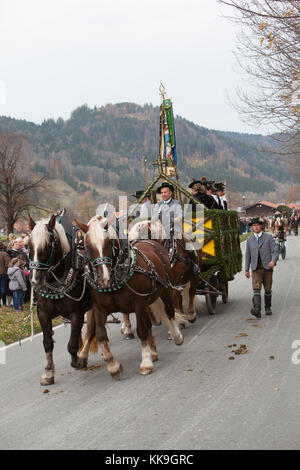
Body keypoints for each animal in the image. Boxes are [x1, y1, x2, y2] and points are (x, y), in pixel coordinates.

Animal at [28, 215, 91, 384]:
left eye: (48, 246)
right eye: (29, 245)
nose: (35, 280)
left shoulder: (77, 313)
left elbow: (71, 344)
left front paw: (76, 360)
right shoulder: (43, 314)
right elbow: (47, 343)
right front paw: (48, 372)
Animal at [74, 215, 183, 376]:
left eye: (109, 242)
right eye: (87, 245)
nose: (104, 279)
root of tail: (150, 241)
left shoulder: (138, 304)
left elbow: (142, 331)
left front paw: (145, 363)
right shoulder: (99, 308)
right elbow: (100, 334)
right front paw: (113, 366)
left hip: (165, 290)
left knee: (169, 312)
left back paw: (176, 336)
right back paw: (154, 352)